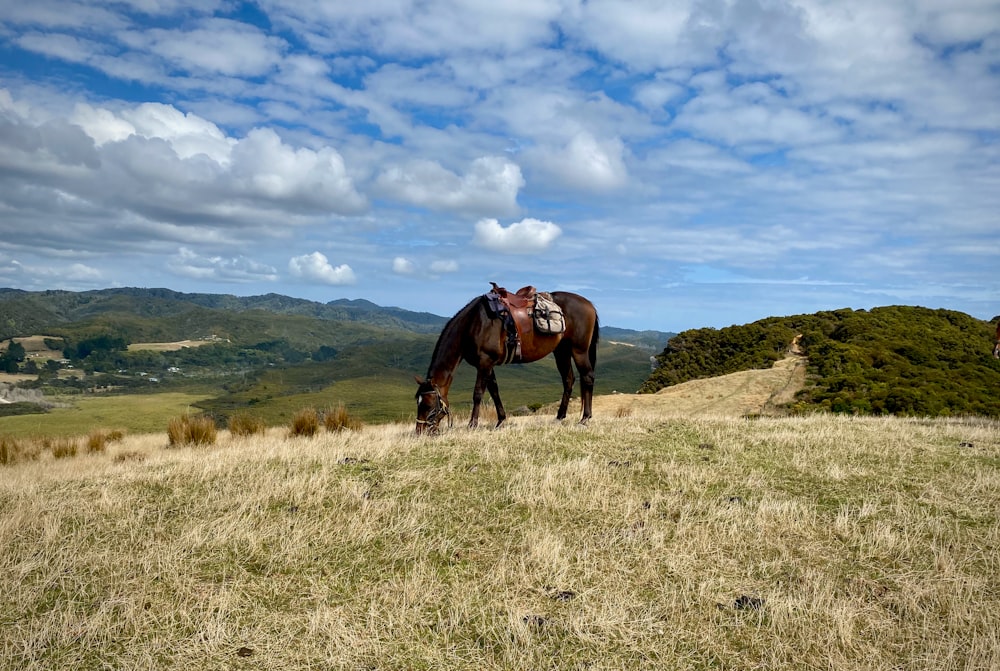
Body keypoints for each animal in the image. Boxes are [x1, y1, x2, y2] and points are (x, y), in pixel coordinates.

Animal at [412, 288, 596, 436]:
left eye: (428, 405)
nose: (419, 432)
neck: (474, 324)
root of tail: (589, 304)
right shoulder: (487, 364)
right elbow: (494, 391)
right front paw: (501, 421)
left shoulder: (485, 362)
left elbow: (478, 394)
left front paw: (472, 424)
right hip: (562, 351)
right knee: (568, 380)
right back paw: (559, 417)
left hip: (578, 350)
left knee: (587, 377)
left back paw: (585, 418)